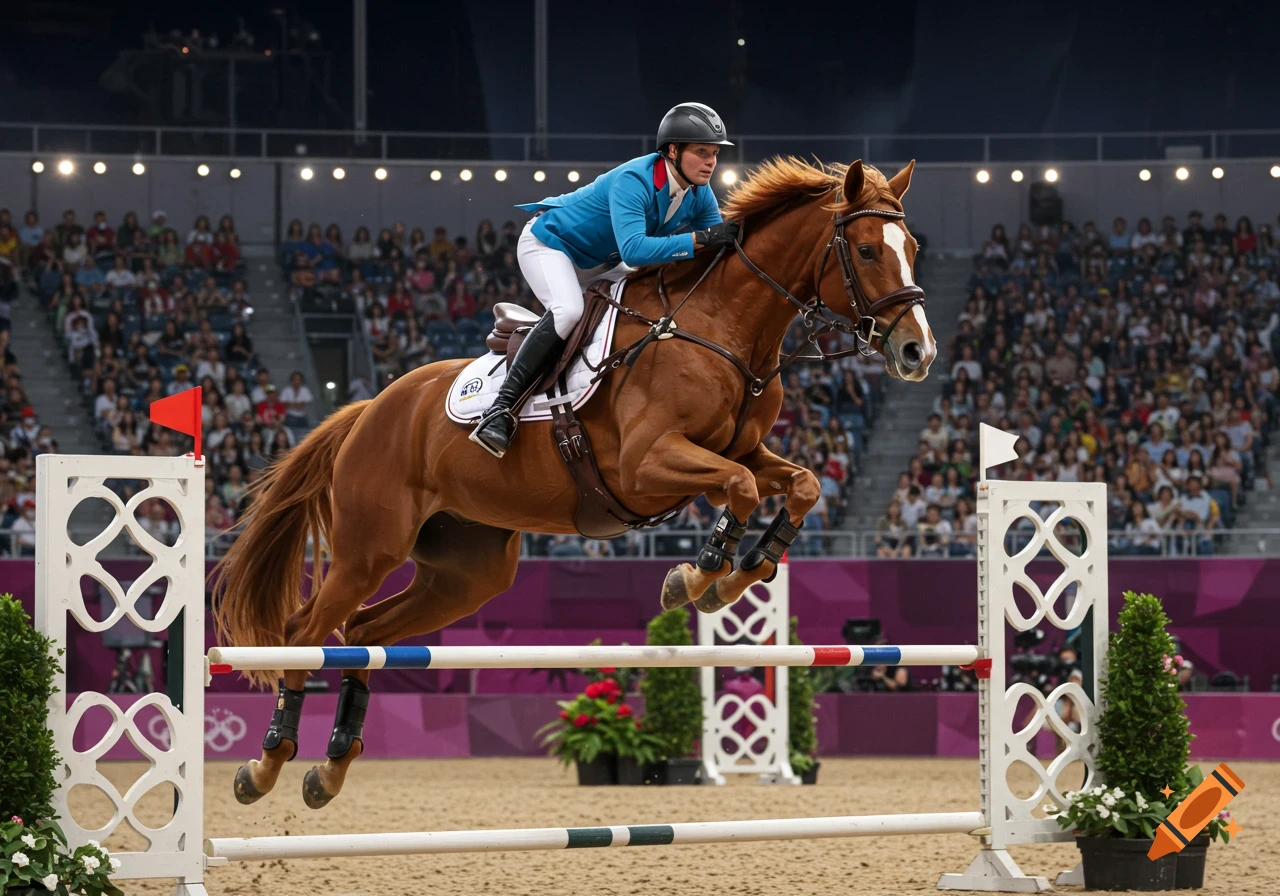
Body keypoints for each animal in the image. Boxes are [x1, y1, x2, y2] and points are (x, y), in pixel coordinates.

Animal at [212, 156, 937, 809]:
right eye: (867, 250)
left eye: (913, 249)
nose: (918, 353)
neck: (724, 328)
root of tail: (369, 410)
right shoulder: (648, 463)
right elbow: (741, 490)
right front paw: (697, 577)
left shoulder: (743, 450)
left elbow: (798, 486)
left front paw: (741, 572)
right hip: (369, 548)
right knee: (306, 633)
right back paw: (265, 765)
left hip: (467, 571)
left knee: (363, 635)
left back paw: (329, 768)